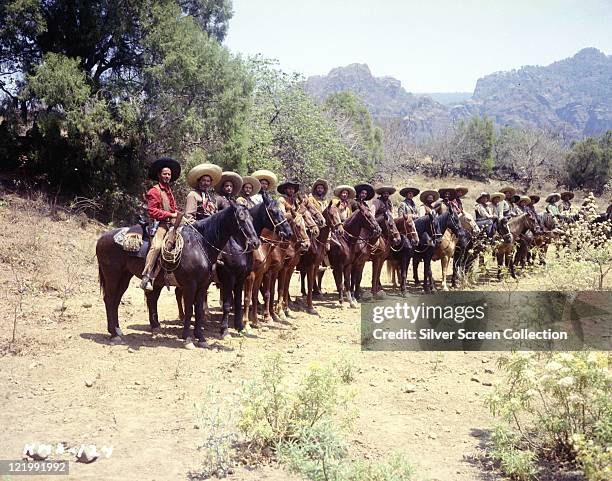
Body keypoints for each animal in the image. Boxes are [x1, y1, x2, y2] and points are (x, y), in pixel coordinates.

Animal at [96, 201, 260, 346]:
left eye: (252, 219)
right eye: (240, 218)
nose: (255, 243)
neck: (200, 245)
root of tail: (102, 238)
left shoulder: (203, 285)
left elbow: (199, 310)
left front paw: (201, 338)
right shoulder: (193, 285)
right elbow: (190, 310)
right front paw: (188, 338)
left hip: (124, 277)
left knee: (117, 300)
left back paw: (118, 330)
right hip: (112, 276)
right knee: (109, 300)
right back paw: (114, 335)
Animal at [215, 193, 292, 336]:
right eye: (273, 211)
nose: (289, 233)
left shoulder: (259, 275)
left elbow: (254, 297)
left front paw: (255, 322)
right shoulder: (246, 276)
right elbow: (246, 298)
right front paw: (246, 324)